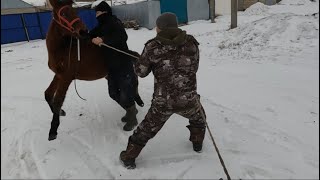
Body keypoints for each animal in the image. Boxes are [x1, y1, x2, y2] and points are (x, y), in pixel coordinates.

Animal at [44, 0, 142, 141]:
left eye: (75, 11)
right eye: (62, 13)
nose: (83, 31)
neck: (62, 49)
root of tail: (129, 53)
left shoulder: (66, 77)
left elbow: (58, 101)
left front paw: (53, 130)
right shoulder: (58, 75)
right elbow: (48, 94)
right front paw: (61, 112)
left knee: (131, 88)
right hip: (109, 77)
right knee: (122, 93)